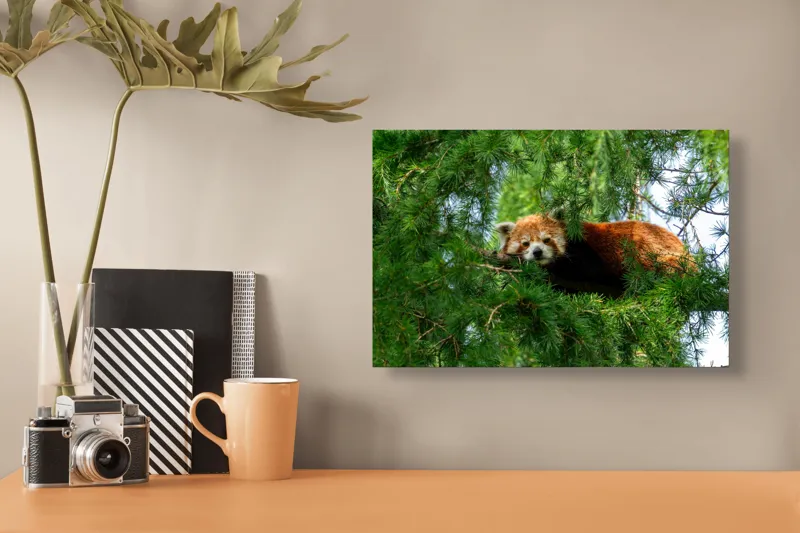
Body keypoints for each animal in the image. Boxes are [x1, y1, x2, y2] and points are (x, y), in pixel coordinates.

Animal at [494, 214, 692, 297]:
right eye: (526, 243)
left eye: (546, 240)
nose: (537, 252)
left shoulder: (583, 250)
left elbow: (589, 270)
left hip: (650, 249)